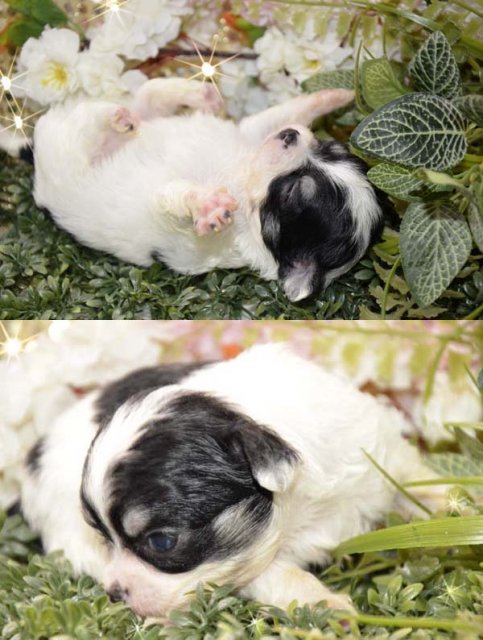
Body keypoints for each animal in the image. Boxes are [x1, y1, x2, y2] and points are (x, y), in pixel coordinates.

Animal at [2, 79, 384, 302]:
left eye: (292, 194)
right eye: (325, 148)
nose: (292, 135)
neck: (244, 177)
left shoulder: (193, 235)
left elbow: (177, 196)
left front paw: (208, 206)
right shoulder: (253, 132)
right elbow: (277, 114)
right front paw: (333, 95)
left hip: (66, 154)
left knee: (91, 125)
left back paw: (116, 119)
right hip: (135, 118)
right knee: (145, 95)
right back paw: (194, 93)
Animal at [20, 343, 441, 617]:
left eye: (161, 542)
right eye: (104, 538)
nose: (114, 594)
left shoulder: (380, 453)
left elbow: (418, 481)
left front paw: (453, 510)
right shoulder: (247, 564)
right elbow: (282, 576)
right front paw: (330, 607)